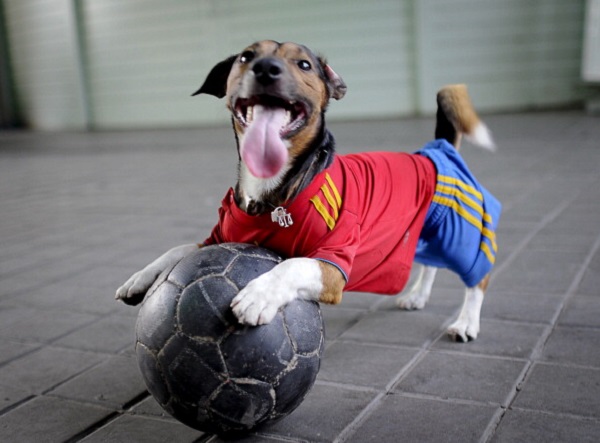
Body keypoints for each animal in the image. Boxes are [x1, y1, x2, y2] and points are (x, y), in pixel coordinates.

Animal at [115, 40, 500, 342]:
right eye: (246, 56)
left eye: (303, 64)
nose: (266, 68)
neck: (273, 196)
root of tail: (436, 149)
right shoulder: (219, 238)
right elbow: (180, 248)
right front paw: (141, 277)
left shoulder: (332, 265)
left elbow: (293, 264)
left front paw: (259, 295)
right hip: (425, 234)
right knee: (430, 265)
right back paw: (417, 295)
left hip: (459, 233)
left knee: (478, 278)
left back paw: (466, 322)